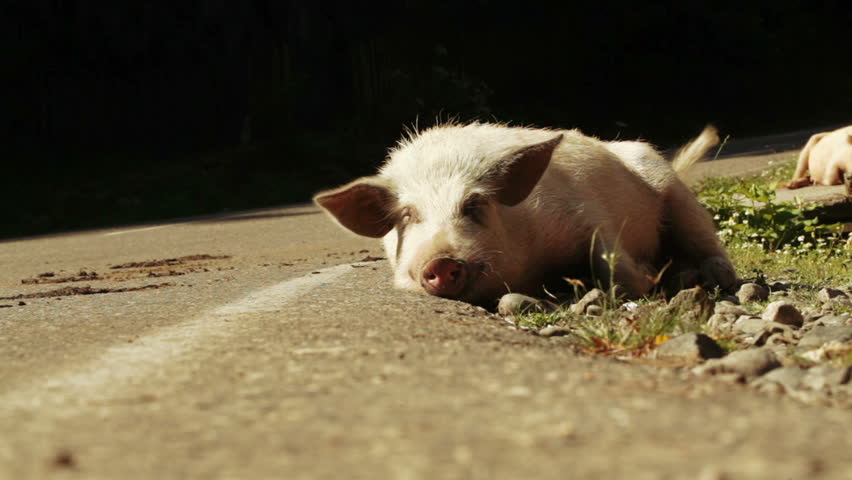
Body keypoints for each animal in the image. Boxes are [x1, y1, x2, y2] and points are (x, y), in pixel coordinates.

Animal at [314, 122, 740, 306]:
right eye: (407, 216)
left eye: (474, 204)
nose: (441, 260)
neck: (533, 270)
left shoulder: (584, 214)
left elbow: (610, 259)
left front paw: (647, 281)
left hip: (672, 190)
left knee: (706, 240)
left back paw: (708, 277)